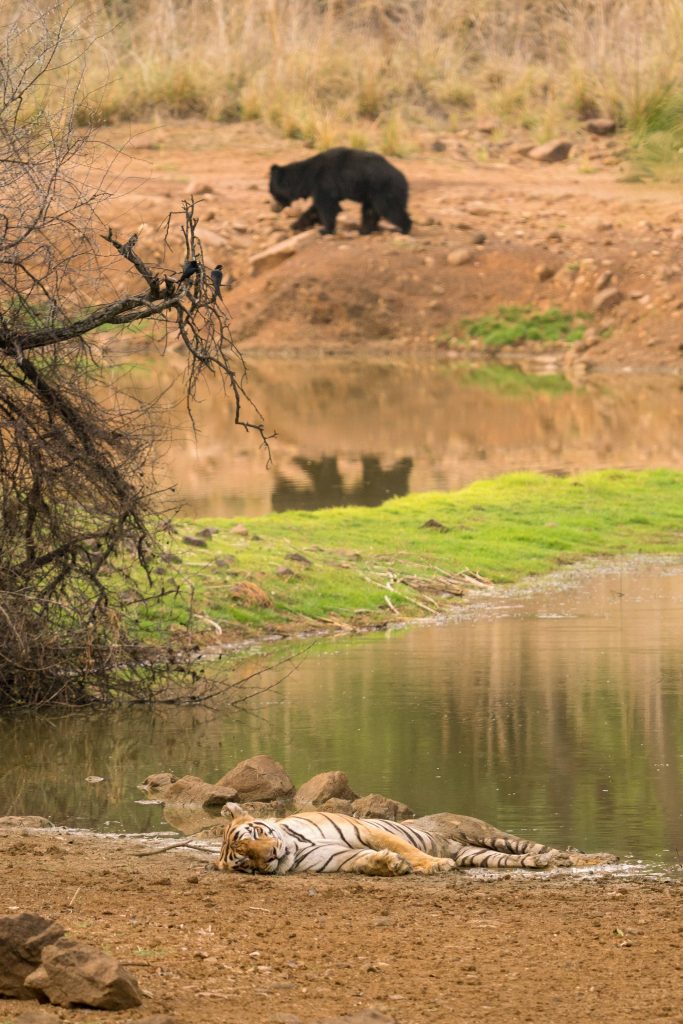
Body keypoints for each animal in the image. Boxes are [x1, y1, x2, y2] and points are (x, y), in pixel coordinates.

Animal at [270, 145, 411, 234]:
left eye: (273, 193)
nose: (273, 209)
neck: (308, 176)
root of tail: (404, 180)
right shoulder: (321, 187)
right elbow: (314, 209)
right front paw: (295, 225)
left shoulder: (324, 182)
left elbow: (327, 207)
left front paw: (324, 230)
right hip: (371, 194)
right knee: (369, 212)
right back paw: (364, 231)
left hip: (385, 189)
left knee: (391, 209)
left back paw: (404, 229)